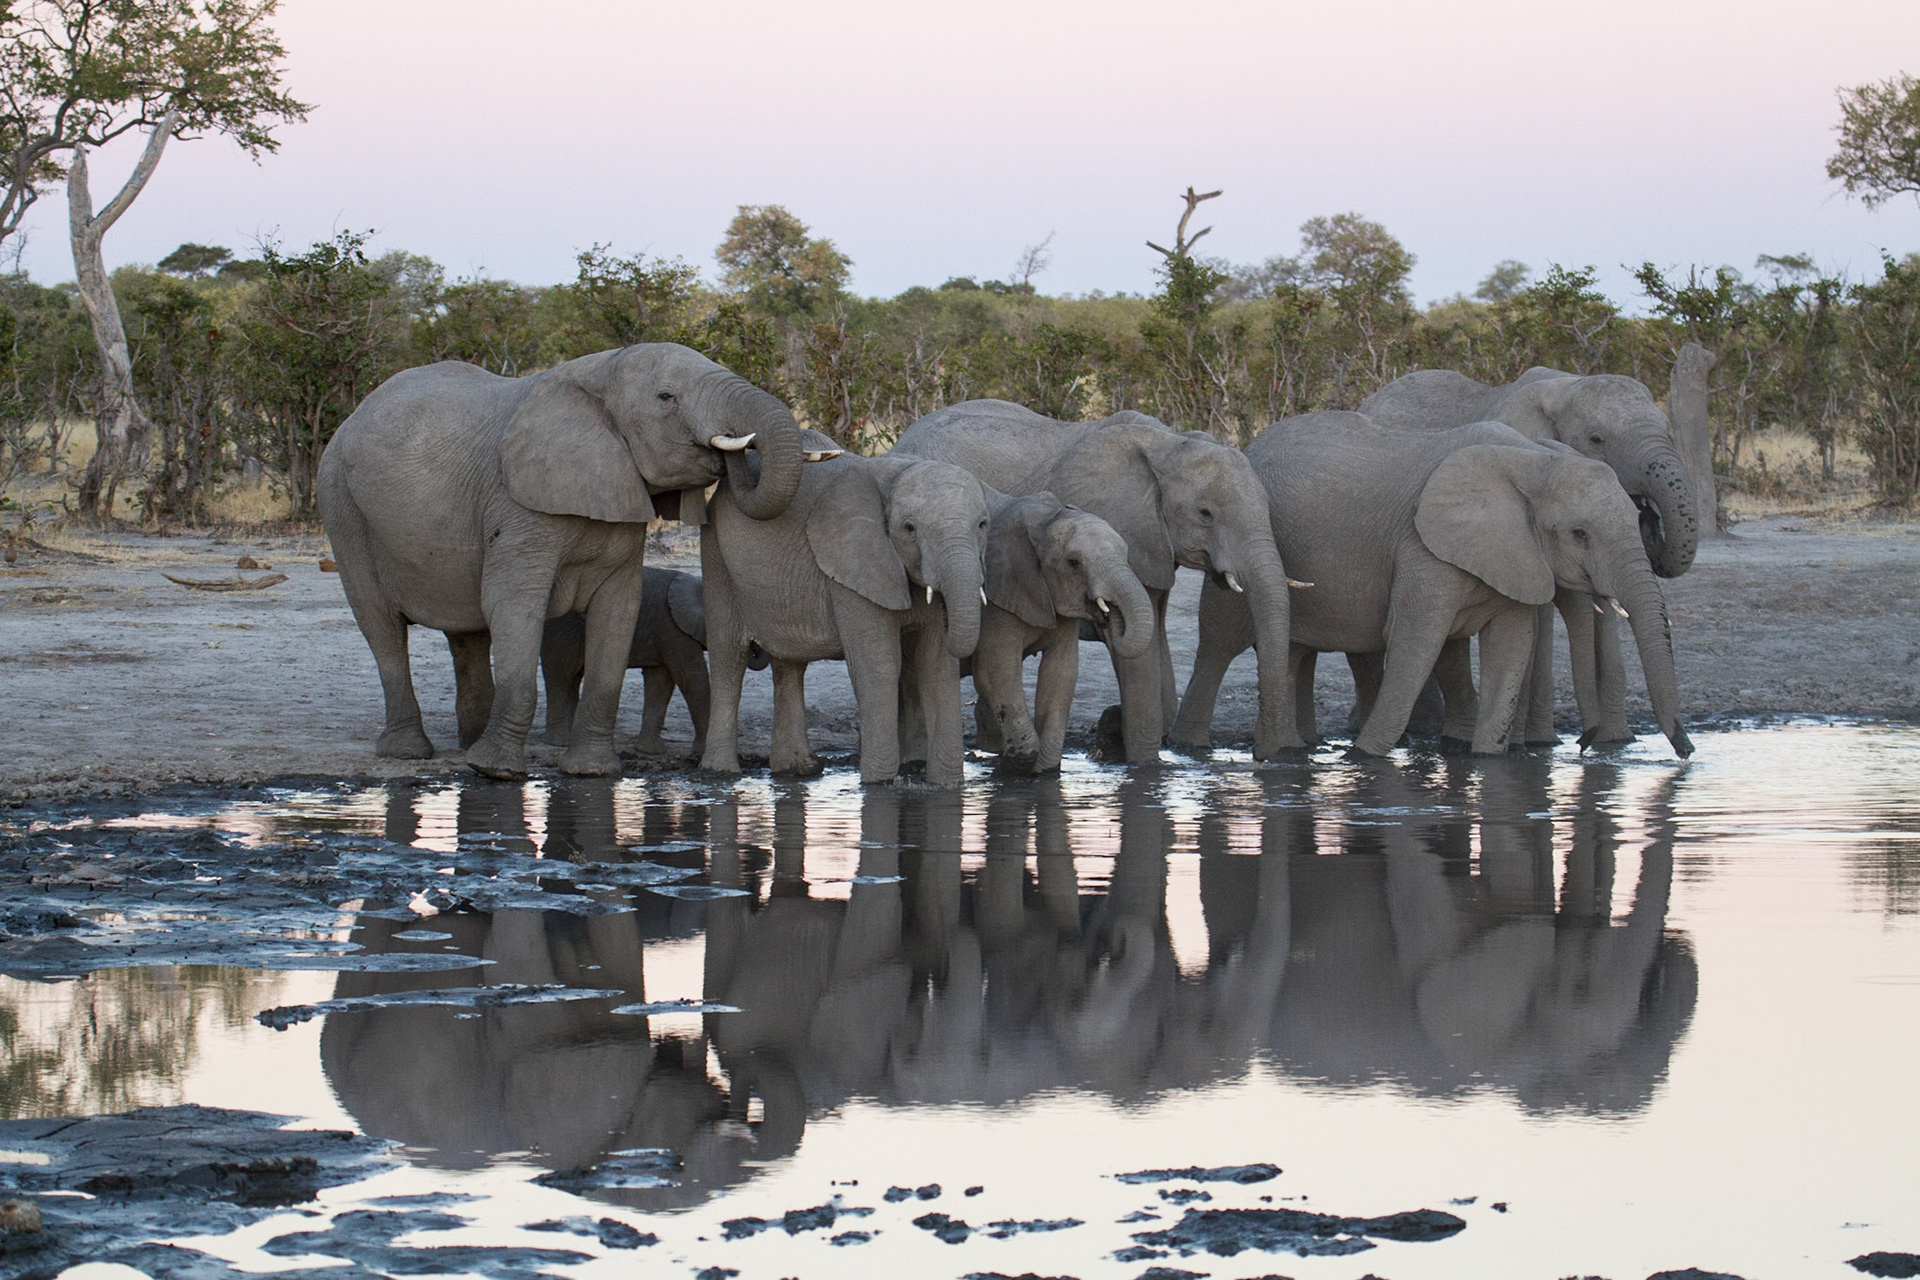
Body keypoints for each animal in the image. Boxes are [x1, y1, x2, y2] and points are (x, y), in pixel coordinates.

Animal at [540, 567, 768, 759]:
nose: (752, 648)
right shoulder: (673, 629)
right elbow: (692, 680)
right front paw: (699, 753)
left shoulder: (663, 631)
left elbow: (660, 684)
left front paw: (651, 751)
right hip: (561, 630)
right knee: (559, 678)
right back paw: (559, 742)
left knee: (572, 678)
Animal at [698, 430, 990, 786]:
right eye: (909, 529)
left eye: (983, 525)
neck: (897, 473)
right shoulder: (851, 568)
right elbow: (879, 665)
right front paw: (879, 785)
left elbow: (935, 665)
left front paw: (946, 785)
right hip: (716, 558)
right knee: (729, 658)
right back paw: (720, 775)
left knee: (789, 663)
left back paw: (797, 771)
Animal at [893, 400, 1300, 763]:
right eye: (1206, 514)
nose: (1263, 756)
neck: (1170, 444)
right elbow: (1139, 651)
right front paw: (1146, 765)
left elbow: (1156, 634)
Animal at [1168, 412, 1693, 758]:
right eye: (1579, 534)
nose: (1686, 750)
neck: (1531, 461)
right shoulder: (1423, 544)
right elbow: (1414, 641)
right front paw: (1364, 758)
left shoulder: (1516, 554)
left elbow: (1510, 645)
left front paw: (1484, 759)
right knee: (1220, 643)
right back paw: (1196, 749)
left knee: (1297, 651)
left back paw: (1294, 750)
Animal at [1359, 367, 1701, 744]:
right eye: (1596, 440)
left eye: (1666, 428)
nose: (1649, 517)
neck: (1566, 384)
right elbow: (1540, 615)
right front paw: (1536, 744)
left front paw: (1616, 742)